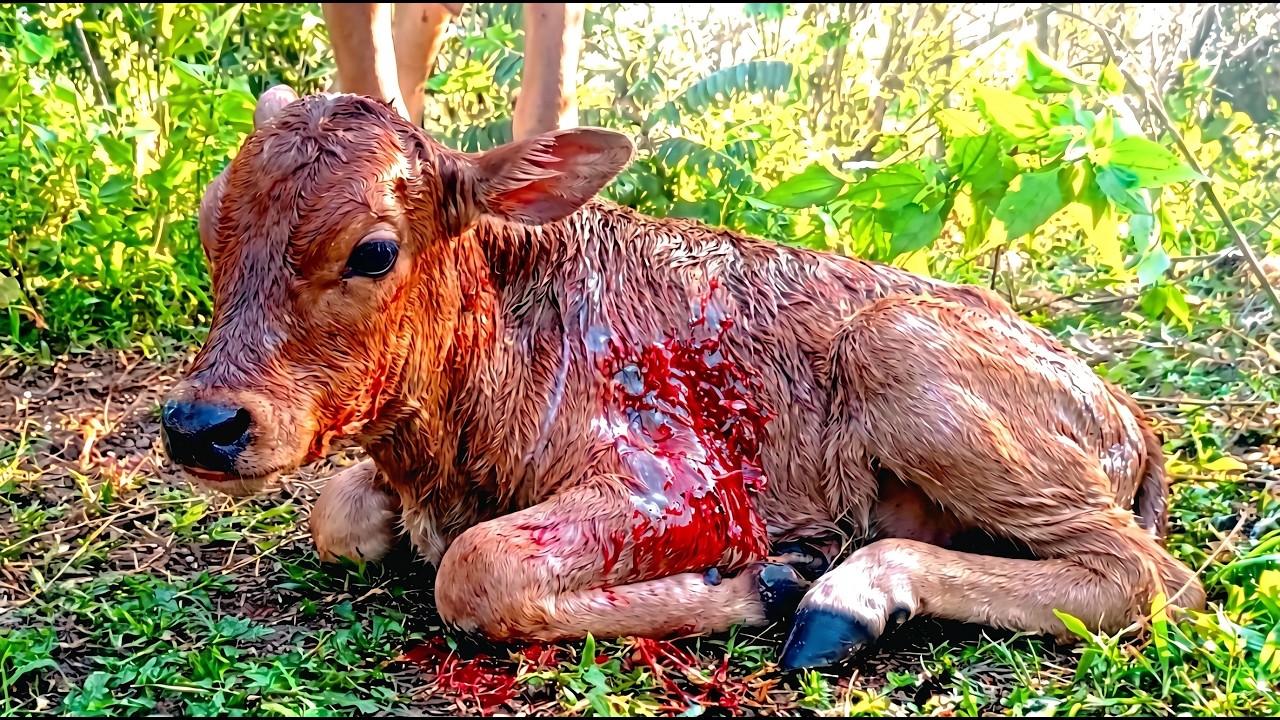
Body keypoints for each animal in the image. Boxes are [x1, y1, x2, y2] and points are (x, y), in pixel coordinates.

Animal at [161, 85, 1205, 671]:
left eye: (374, 251)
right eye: (210, 224)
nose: (199, 425)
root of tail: (1128, 412)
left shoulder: (693, 487)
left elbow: (477, 568)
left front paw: (761, 582)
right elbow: (337, 516)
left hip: (900, 353)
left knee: (1147, 577)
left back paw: (838, 597)